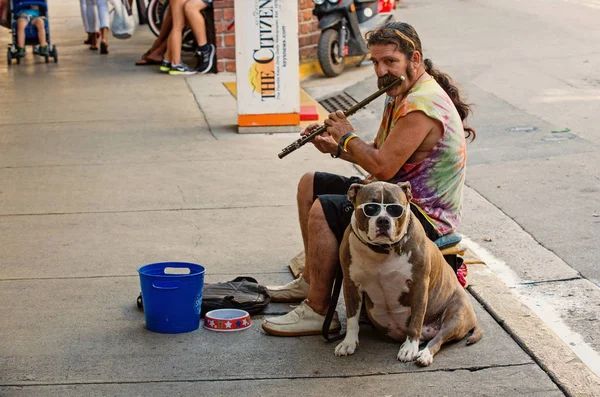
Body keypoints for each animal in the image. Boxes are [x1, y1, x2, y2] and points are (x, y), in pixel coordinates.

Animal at [332, 180, 482, 366]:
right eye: (371, 207)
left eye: (395, 208)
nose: (383, 220)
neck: (382, 251)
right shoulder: (351, 284)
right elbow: (352, 317)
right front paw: (348, 342)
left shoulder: (419, 285)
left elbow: (416, 321)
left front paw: (410, 348)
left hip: (456, 315)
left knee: (438, 339)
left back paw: (424, 354)